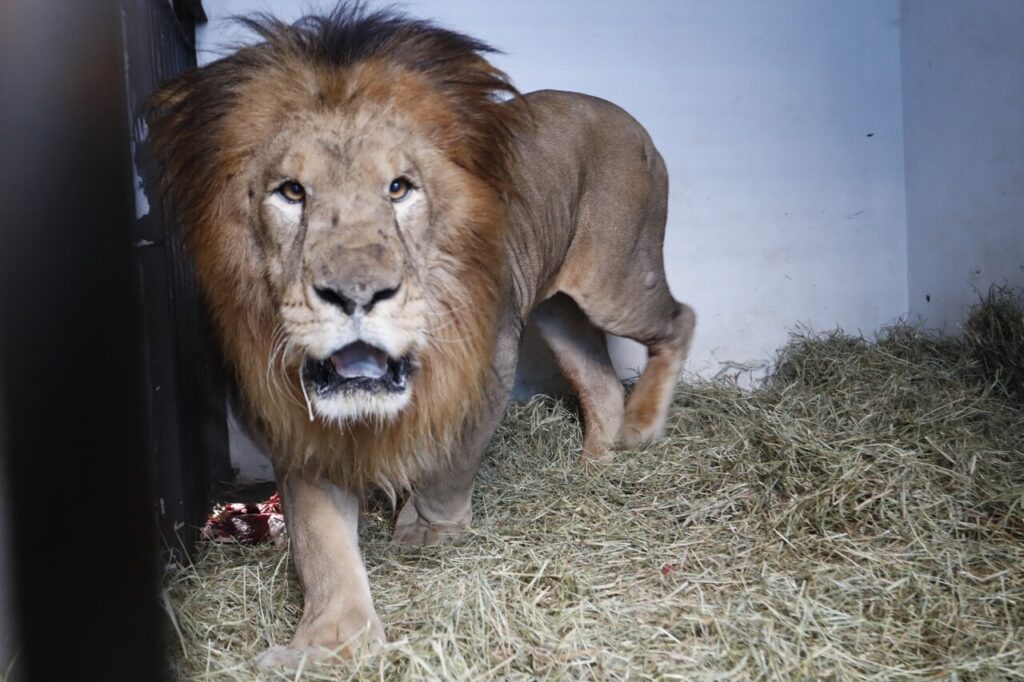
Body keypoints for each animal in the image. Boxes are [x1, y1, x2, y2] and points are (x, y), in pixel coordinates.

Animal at [149, 5, 694, 667]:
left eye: (399, 188)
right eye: (292, 192)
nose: (356, 295)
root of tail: (627, 117)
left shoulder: (488, 368)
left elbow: (449, 465)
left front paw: (427, 531)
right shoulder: (300, 421)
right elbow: (320, 542)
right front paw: (328, 643)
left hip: (614, 282)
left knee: (678, 319)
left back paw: (642, 424)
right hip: (557, 311)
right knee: (600, 381)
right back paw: (595, 465)